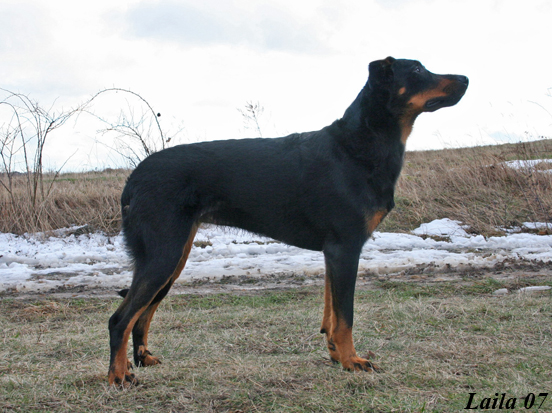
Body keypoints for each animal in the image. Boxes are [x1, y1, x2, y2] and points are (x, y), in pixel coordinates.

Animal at [108, 57, 468, 386]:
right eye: (418, 70)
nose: (465, 78)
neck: (359, 144)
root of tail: (133, 179)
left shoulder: (333, 253)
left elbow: (331, 314)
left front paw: (336, 355)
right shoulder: (345, 247)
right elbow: (346, 316)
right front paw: (352, 361)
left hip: (174, 255)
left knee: (141, 315)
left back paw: (140, 360)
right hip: (163, 254)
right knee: (120, 319)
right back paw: (118, 377)